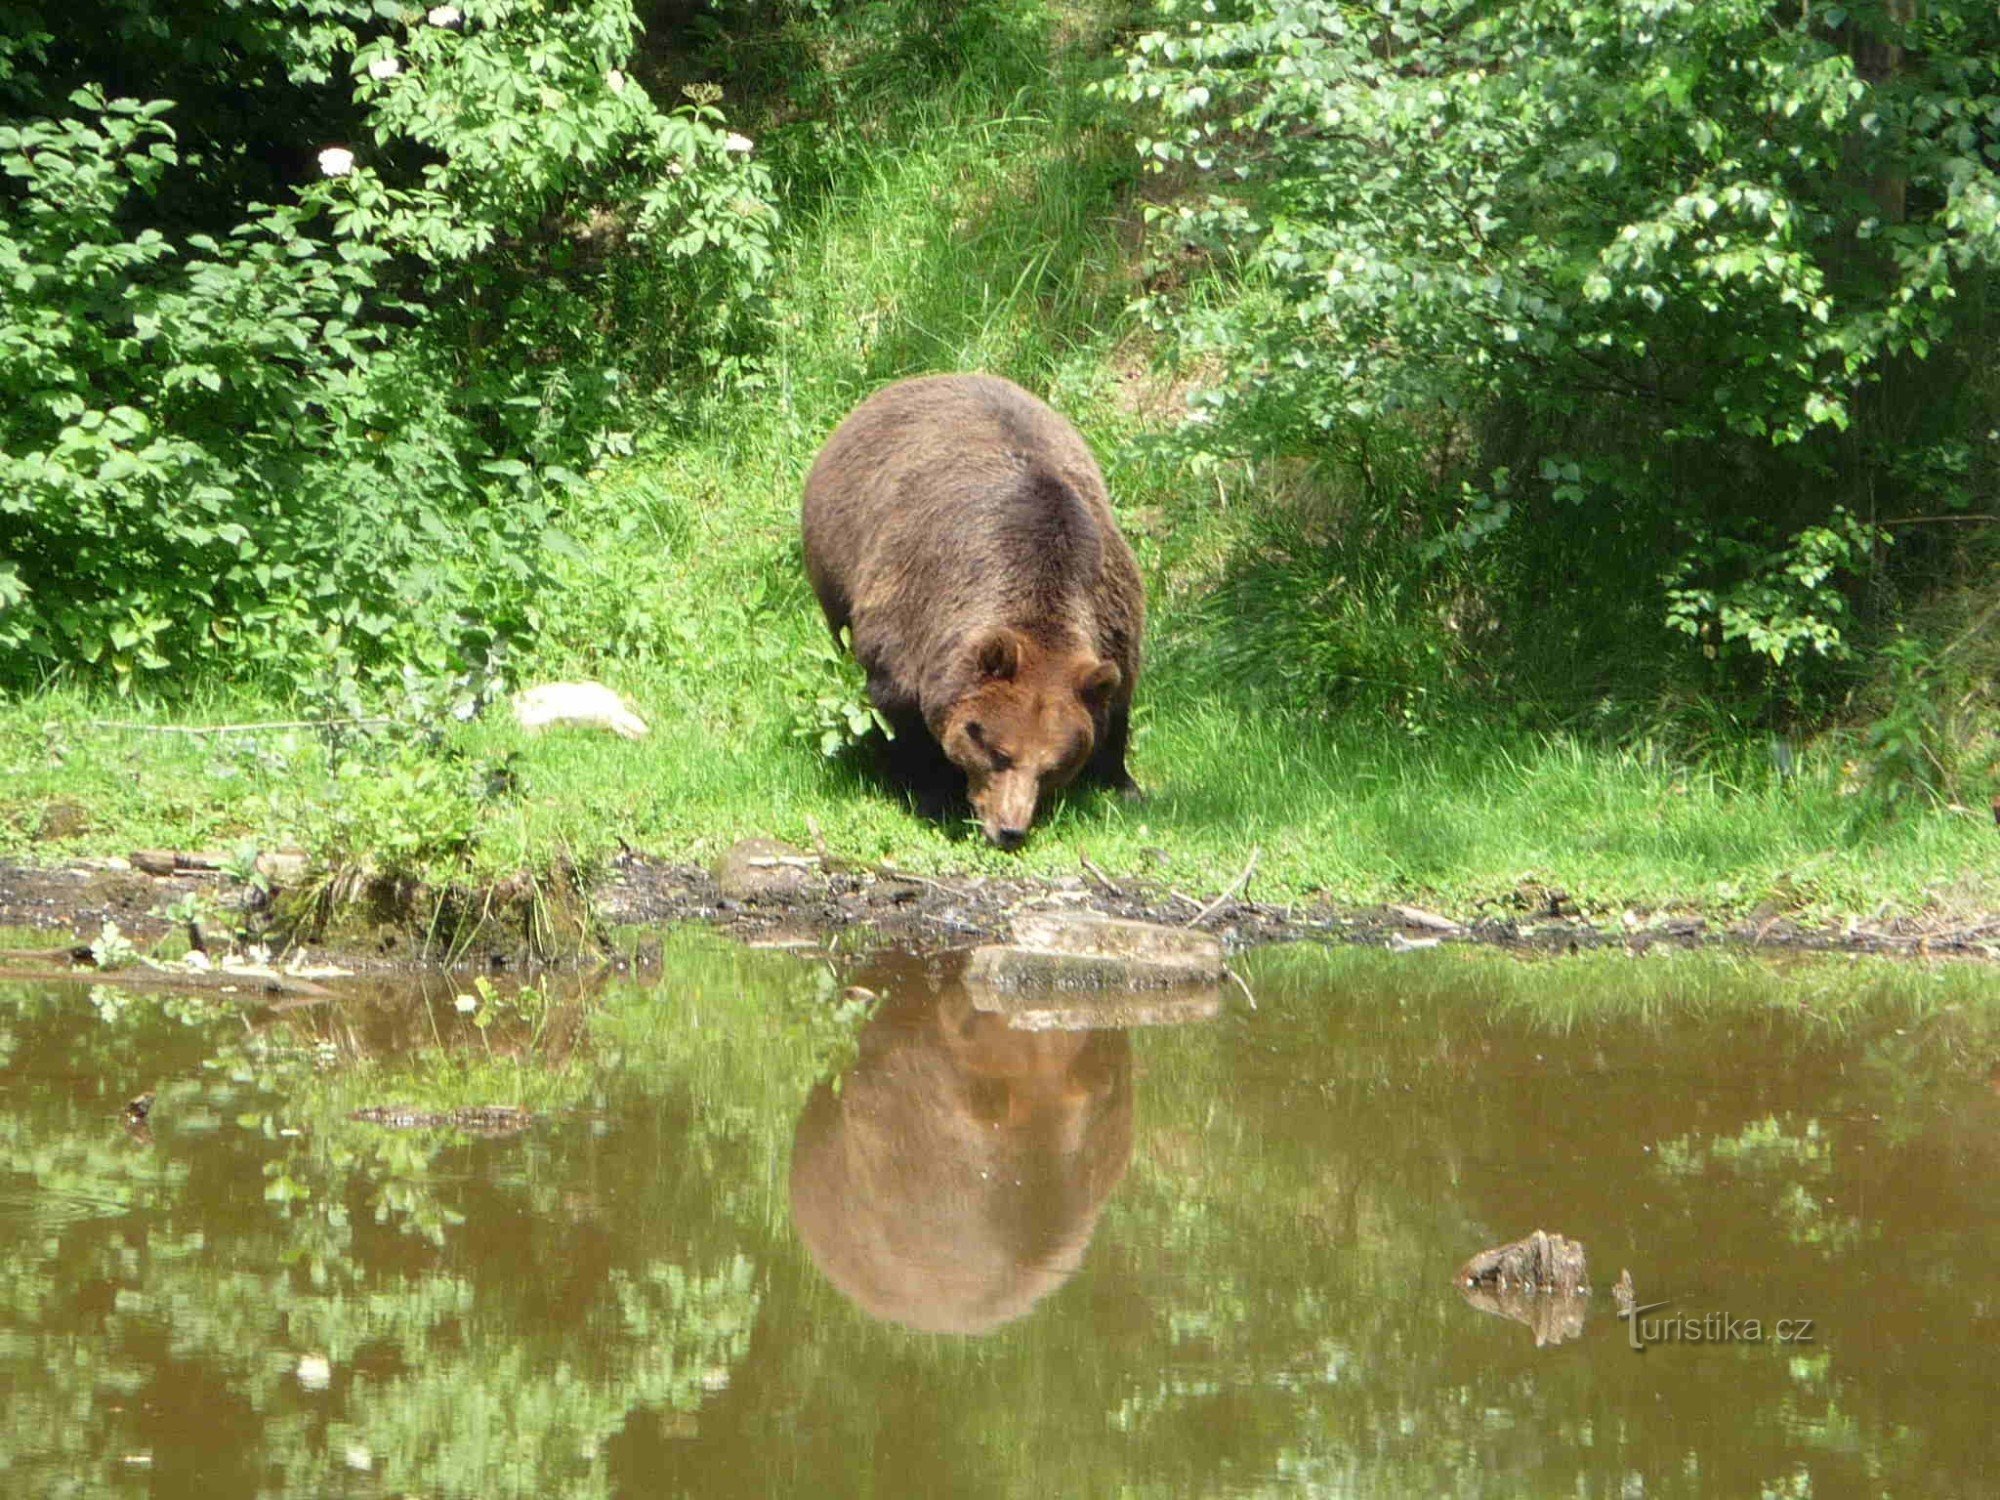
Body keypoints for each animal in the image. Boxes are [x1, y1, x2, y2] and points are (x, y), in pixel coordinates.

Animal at [796, 372, 1144, 852]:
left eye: (1052, 764)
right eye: (998, 753)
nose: (1010, 830)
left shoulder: (1113, 615)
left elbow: (1115, 701)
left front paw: (1122, 784)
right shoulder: (915, 613)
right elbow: (901, 712)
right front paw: (930, 793)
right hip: (835, 556)